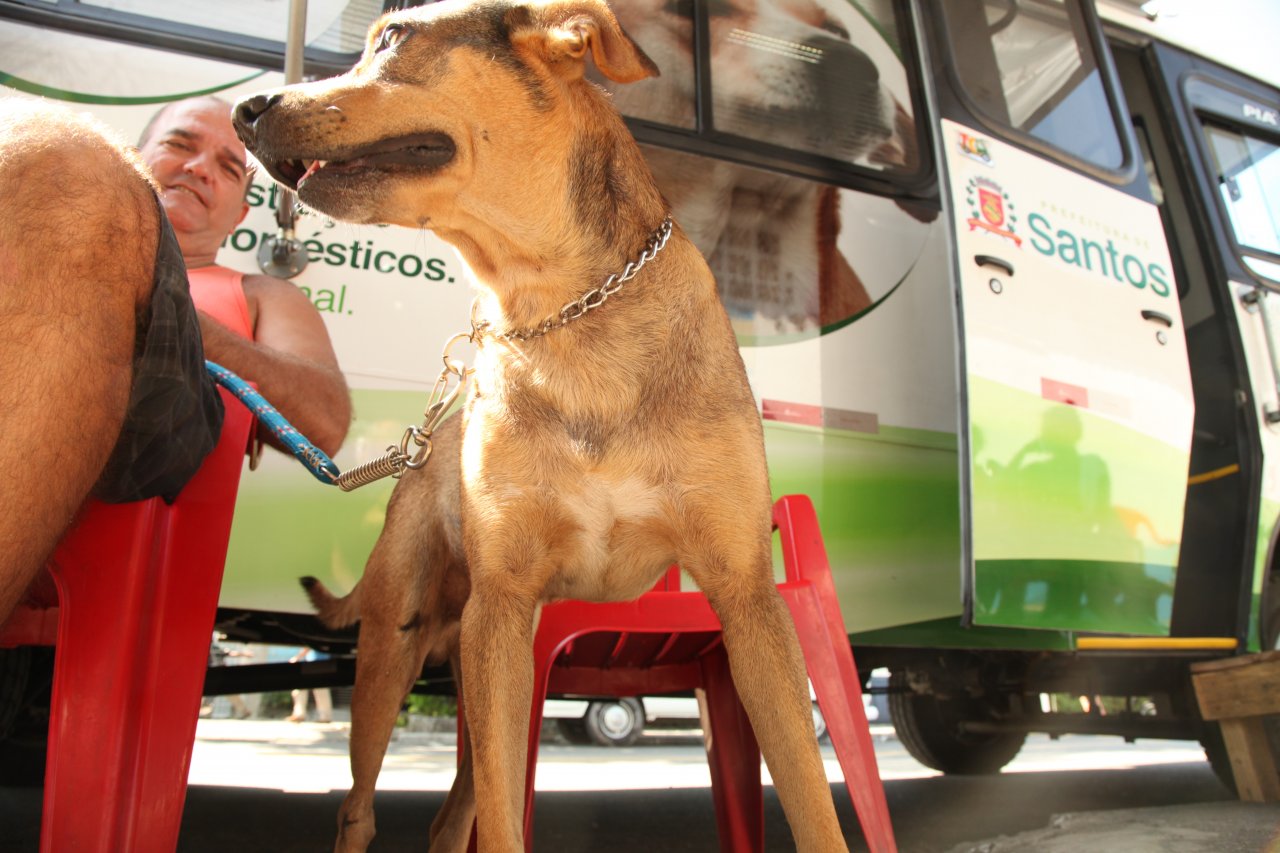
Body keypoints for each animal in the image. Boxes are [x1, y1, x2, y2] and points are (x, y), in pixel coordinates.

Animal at [234, 3, 844, 845]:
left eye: (392, 37)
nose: (244, 109)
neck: (558, 308)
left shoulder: (747, 597)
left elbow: (814, 800)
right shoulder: (500, 604)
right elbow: (502, 824)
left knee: (451, 812)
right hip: (402, 651)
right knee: (363, 805)